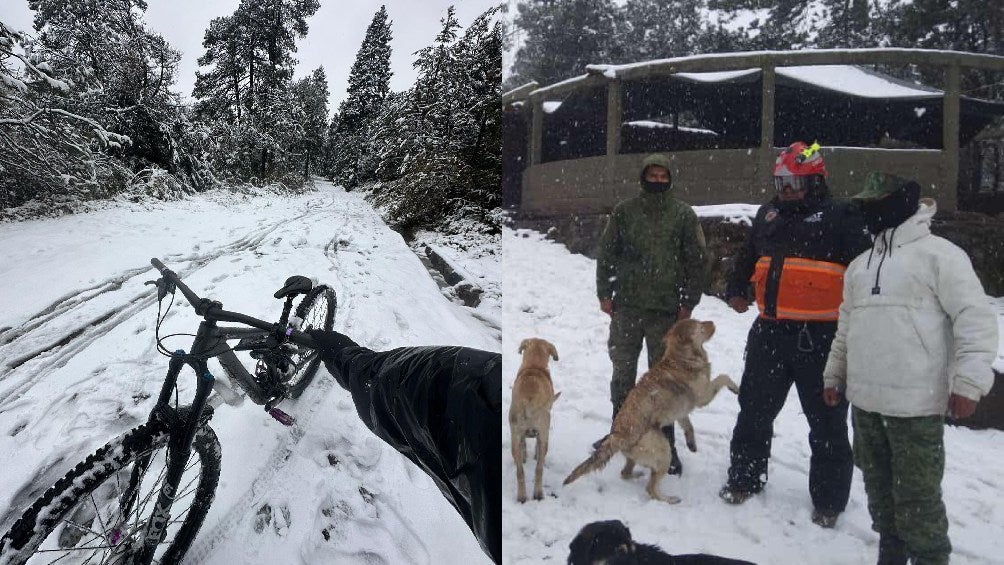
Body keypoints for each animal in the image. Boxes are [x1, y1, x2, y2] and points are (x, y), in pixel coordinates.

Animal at [514, 339, 562, 501]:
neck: (534, 366)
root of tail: (530, 400)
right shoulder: (541, 434)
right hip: (544, 436)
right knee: (539, 468)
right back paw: (538, 493)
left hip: (515, 438)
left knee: (520, 471)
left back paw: (522, 496)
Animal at [566, 319, 738, 503]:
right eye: (699, 326)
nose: (712, 322)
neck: (681, 358)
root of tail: (617, 436)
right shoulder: (703, 396)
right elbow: (723, 377)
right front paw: (736, 388)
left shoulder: (682, 411)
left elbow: (688, 425)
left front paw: (691, 444)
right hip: (663, 451)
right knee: (651, 488)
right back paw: (669, 499)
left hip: (638, 455)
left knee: (625, 473)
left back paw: (637, 474)